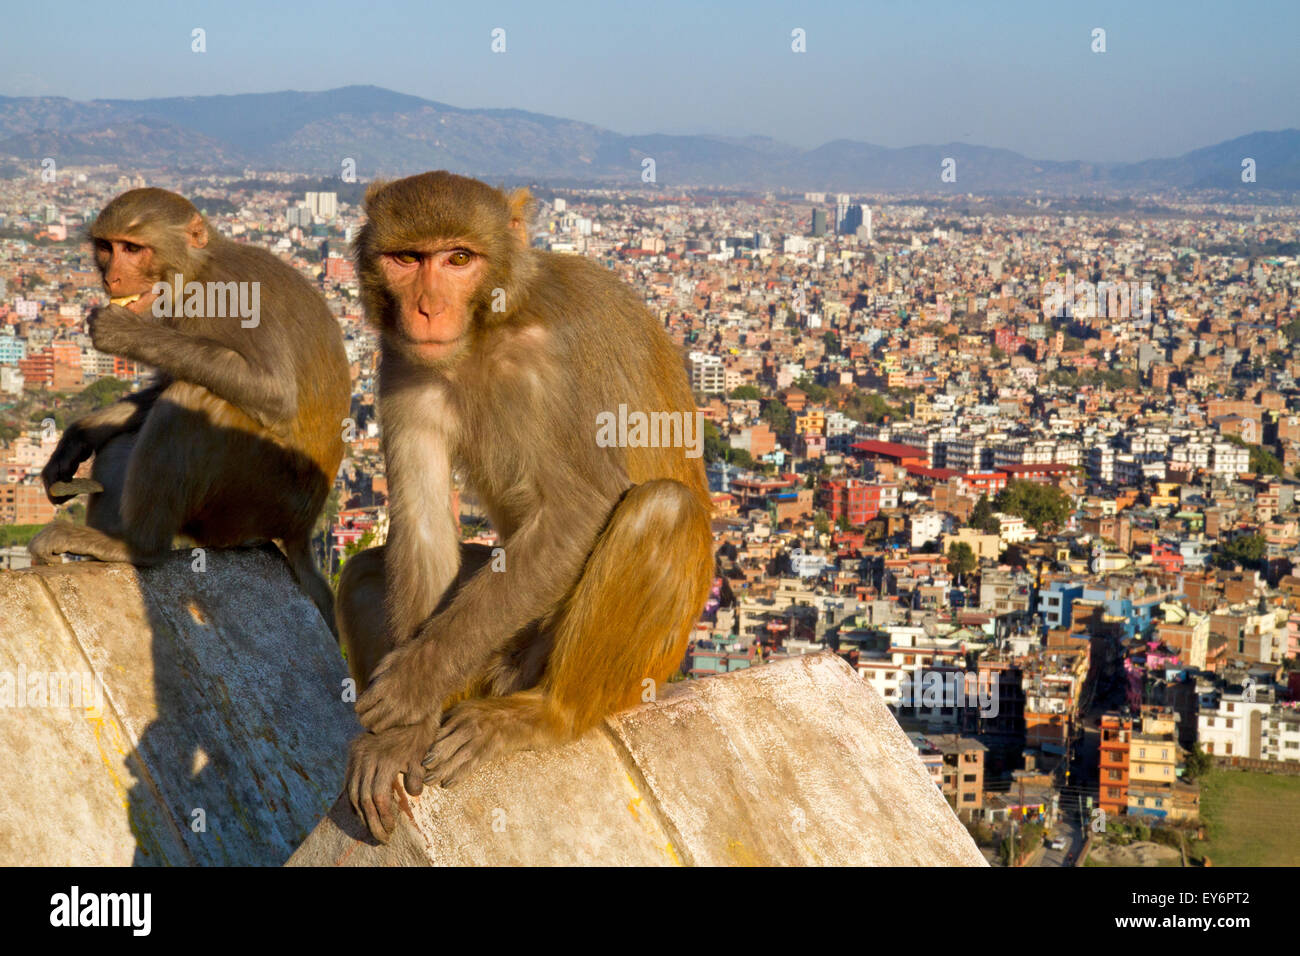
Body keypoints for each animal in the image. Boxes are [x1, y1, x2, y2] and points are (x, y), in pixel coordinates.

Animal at [30, 188, 353, 634]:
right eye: (107, 247)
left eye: (133, 249)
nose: (112, 278)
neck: (196, 272)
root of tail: (302, 526)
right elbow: (157, 390)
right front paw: (77, 437)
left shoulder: (229, 295)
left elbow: (274, 393)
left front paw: (126, 332)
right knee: (132, 433)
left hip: (257, 496)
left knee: (193, 398)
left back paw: (138, 547)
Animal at [338, 174, 712, 842]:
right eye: (407, 258)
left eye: (459, 258)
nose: (426, 309)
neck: (486, 330)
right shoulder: (401, 361)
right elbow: (423, 524)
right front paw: (404, 730)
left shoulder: (549, 366)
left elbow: (578, 510)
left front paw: (411, 686)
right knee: (362, 571)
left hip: (634, 664)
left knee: (662, 509)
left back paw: (546, 714)